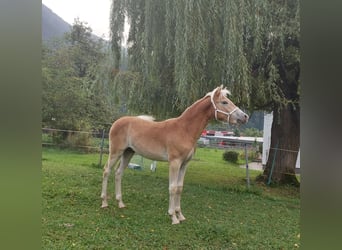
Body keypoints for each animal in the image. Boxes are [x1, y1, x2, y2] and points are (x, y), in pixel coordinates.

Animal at [100, 85, 247, 225]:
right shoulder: (175, 162)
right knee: (107, 170)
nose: (245, 116)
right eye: (224, 102)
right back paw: (104, 202)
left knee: (118, 173)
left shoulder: (184, 164)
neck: (184, 130)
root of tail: (116, 122)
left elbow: (179, 188)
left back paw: (120, 203)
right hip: (116, 152)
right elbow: (172, 188)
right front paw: (173, 217)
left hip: (128, 152)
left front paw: (180, 215)